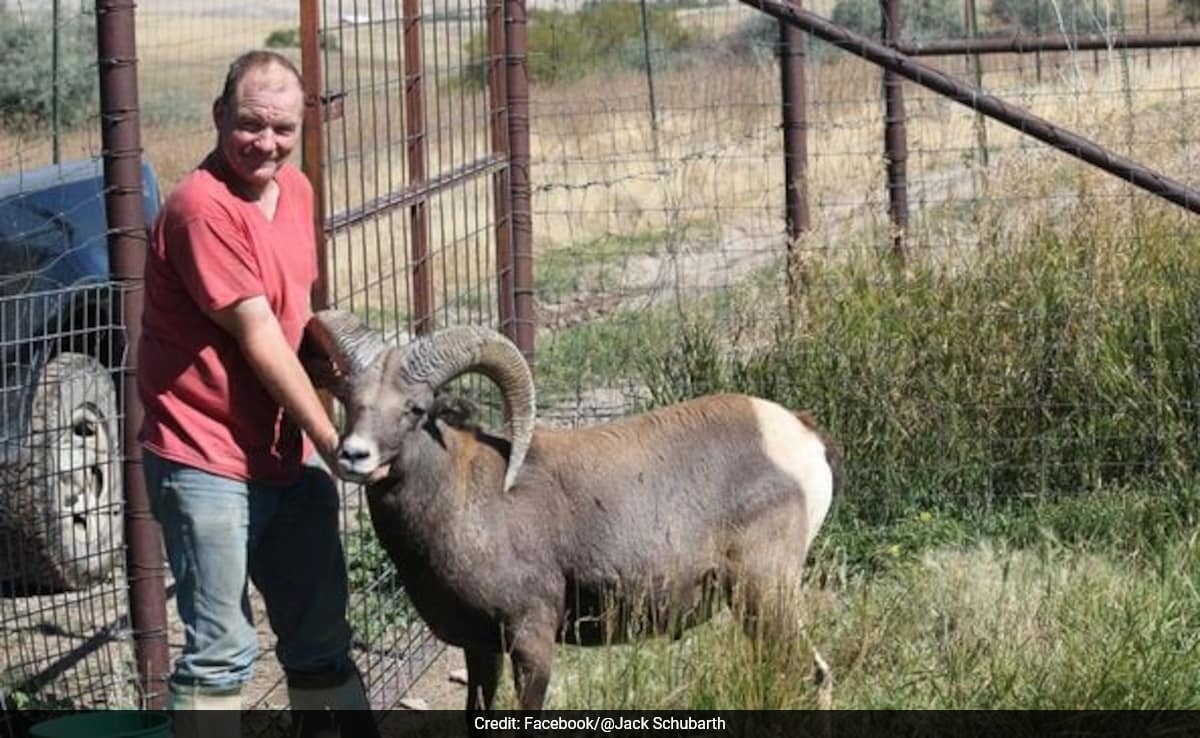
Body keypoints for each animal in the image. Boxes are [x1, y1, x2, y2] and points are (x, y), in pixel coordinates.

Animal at [304, 309, 840, 715]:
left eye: (415, 409)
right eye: (350, 400)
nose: (354, 456)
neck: (466, 501)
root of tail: (800, 435)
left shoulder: (532, 639)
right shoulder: (480, 649)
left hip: (765, 594)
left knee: (812, 674)